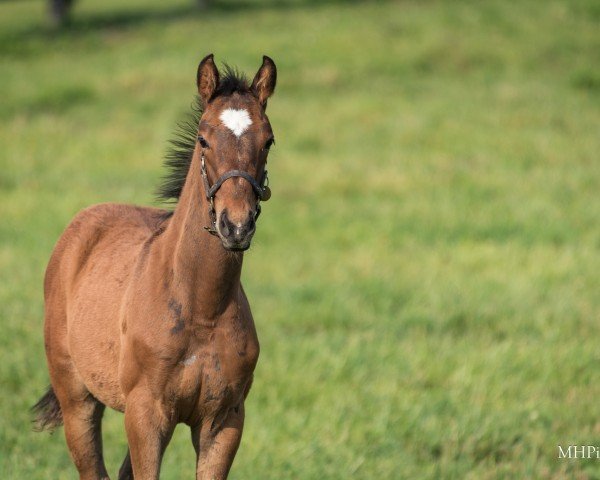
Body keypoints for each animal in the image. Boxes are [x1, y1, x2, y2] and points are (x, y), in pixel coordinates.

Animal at [32, 53, 276, 480]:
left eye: (268, 140)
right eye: (203, 139)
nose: (236, 225)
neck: (202, 309)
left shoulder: (224, 421)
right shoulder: (146, 415)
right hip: (78, 401)